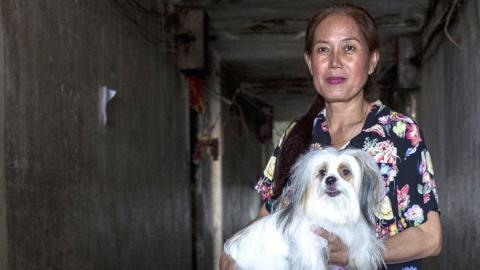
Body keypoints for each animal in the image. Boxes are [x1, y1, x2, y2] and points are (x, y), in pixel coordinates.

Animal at [224, 148, 386, 270]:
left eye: (345, 172)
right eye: (322, 172)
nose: (330, 180)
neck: (333, 208)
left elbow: (362, 248)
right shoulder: (309, 246)